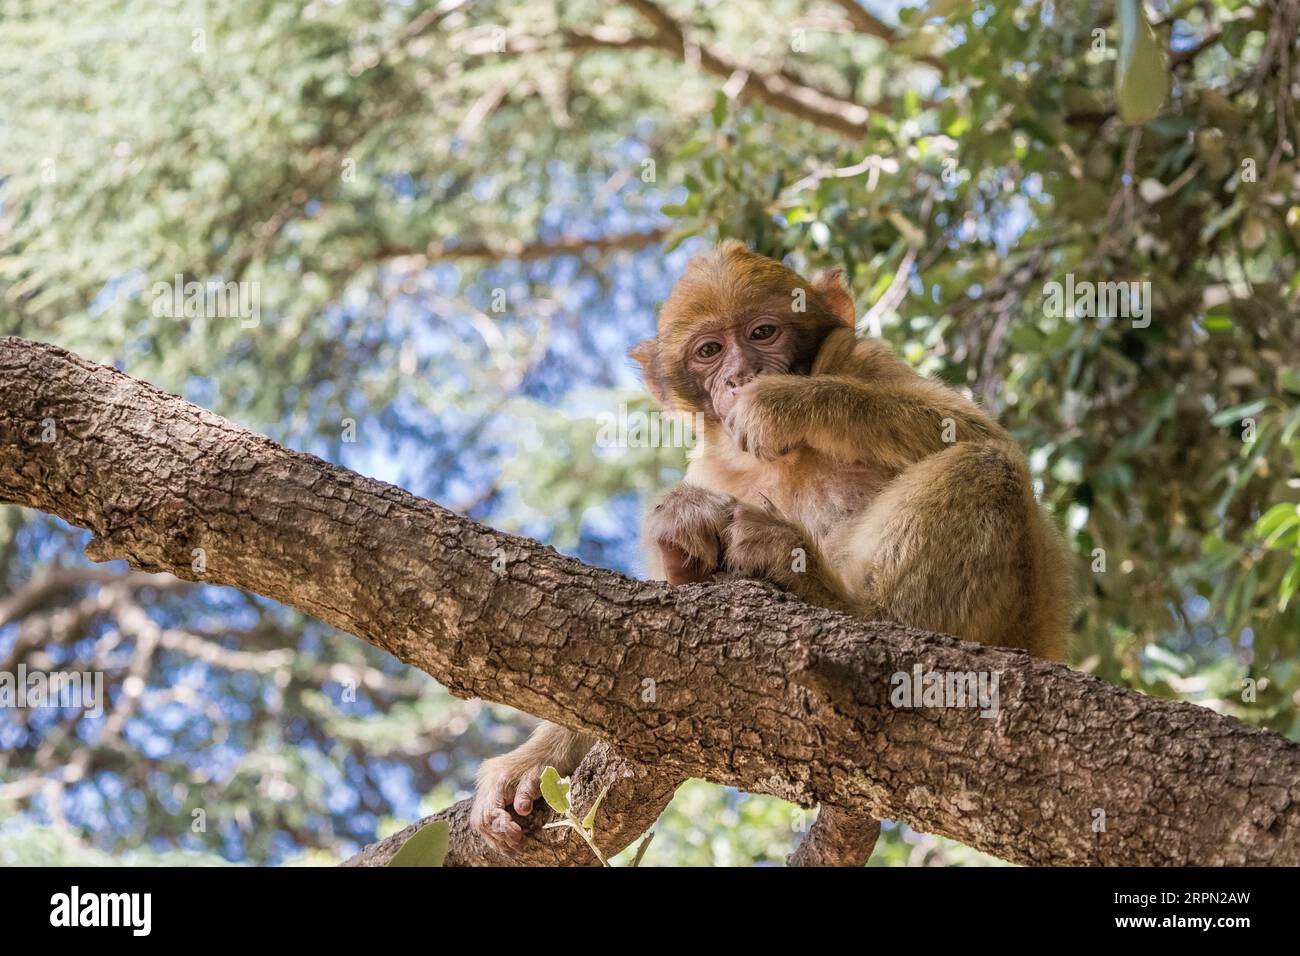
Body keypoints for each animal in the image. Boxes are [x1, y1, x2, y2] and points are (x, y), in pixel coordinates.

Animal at [469, 239, 1073, 854]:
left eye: (763, 333)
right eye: (709, 351)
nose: (740, 376)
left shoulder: (862, 357)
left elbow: (978, 433)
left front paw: (786, 404)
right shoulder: (710, 465)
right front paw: (536, 760)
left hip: (1015, 618)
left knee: (987, 464)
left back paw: (837, 600)